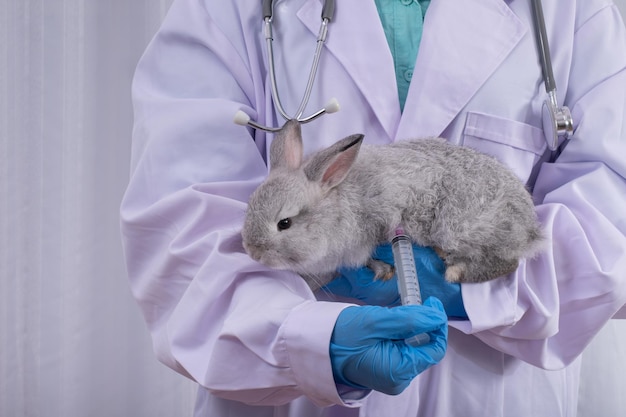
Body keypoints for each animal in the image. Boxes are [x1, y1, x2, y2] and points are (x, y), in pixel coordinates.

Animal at [241, 118, 544, 290]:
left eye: (284, 223)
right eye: (250, 206)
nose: (252, 252)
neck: (333, 210)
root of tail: (531, 229)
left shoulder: (366, 235)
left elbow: (366, 256)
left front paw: (382, 270)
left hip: (460, 226)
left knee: (507, 262)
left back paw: (455, 270)